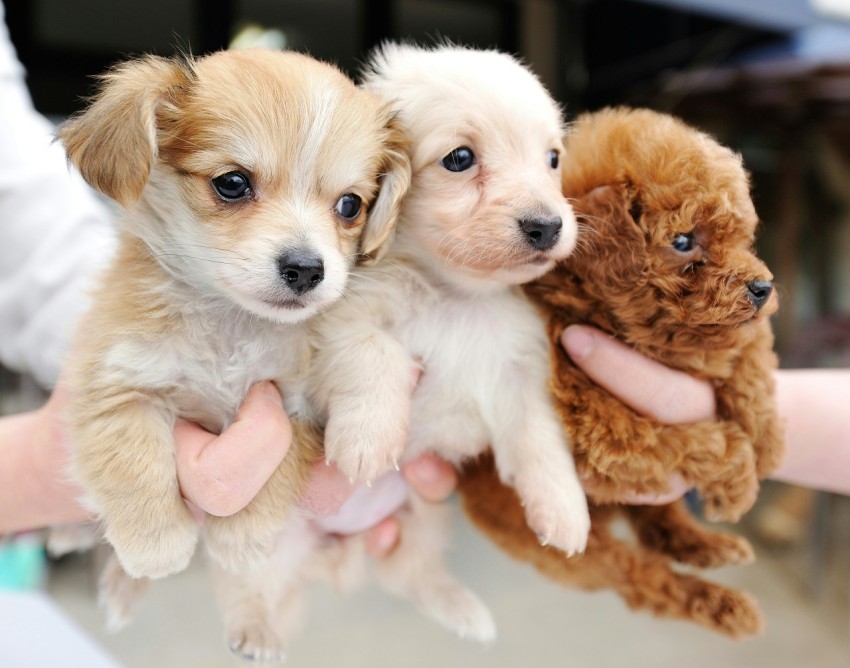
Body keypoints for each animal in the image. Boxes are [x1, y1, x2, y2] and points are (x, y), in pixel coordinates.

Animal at [56, 48, 408, 580]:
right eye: (233, 183)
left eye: (350, 205)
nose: (306, 269)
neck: (230, 325)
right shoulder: (118, 379)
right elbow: (131, 457)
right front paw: (155, 544)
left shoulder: (295, 405)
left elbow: (279, 465)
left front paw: (243, 539)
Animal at [460, 108, 784, 636]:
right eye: (683, 241)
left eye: (740, 238)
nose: (762, 287)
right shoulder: (607, 433)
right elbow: (704, 441)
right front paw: (739, 483)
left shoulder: (728, 333)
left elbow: (752, 354)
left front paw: (770, 440)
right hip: (574, 546)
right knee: (642, 577)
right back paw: (725, 604)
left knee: (658, 520)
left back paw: (707, 545)